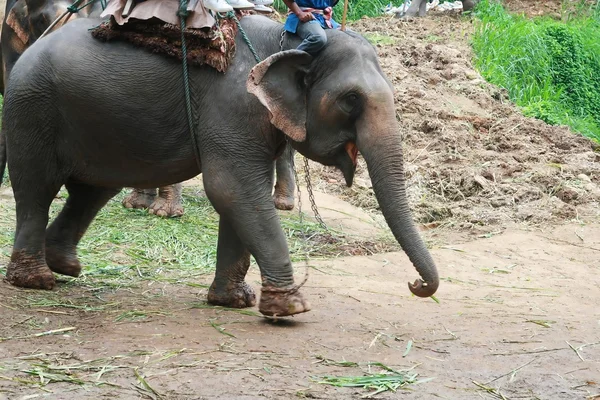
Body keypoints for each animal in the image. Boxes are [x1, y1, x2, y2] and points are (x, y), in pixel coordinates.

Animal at [0, 14, 440, 318]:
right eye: (351, 100)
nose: (415, 283)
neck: (287, 39)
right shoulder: (233, 106)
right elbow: (232, 187)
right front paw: (291, 307)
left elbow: (241, 196)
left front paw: (234, 301)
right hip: (33, 109)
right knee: (37, 190)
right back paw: (37, 281)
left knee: (92, 191)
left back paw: (66, 266)